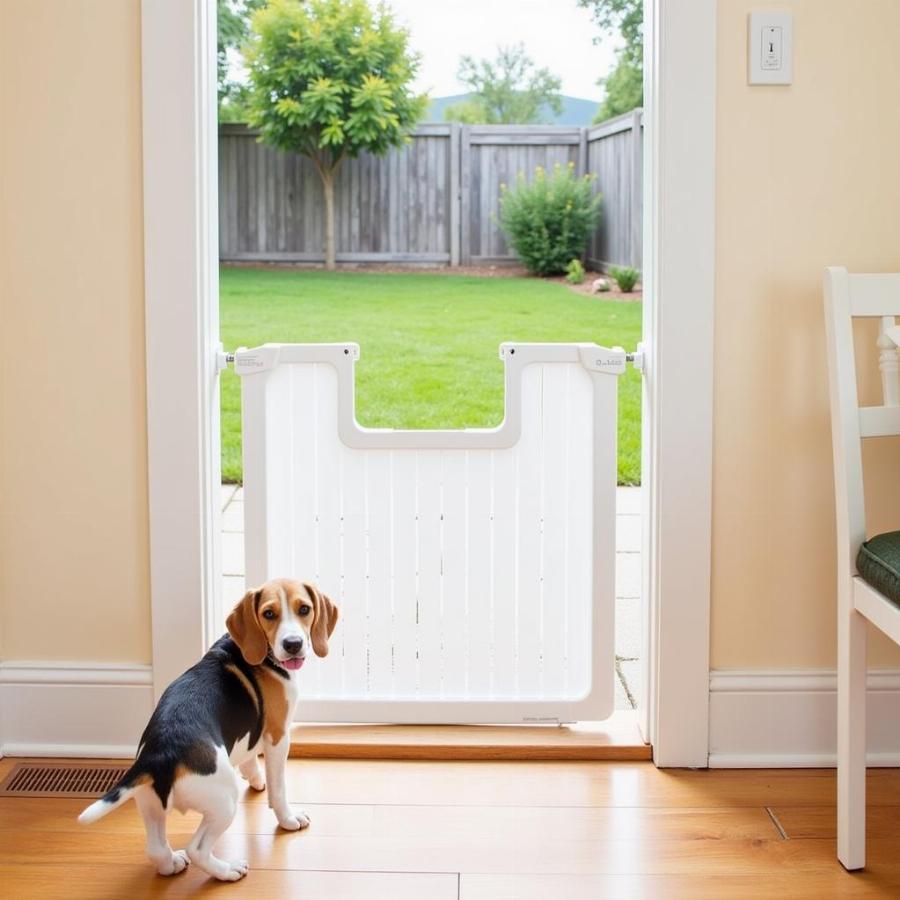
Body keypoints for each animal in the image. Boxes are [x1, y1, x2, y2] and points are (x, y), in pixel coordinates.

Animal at [75, 580, 338, 884]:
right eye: (269, 614)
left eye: (304, 609)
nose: (292, 644)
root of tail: (160, 754)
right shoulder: (278, 735)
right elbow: (279, 787)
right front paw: (288, 818)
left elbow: (249, 756)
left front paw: (255, 779)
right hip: (224, 801)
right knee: (198, 848)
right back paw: (228, 870)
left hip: (149, 803)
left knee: (156, 848)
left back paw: (172, 863)